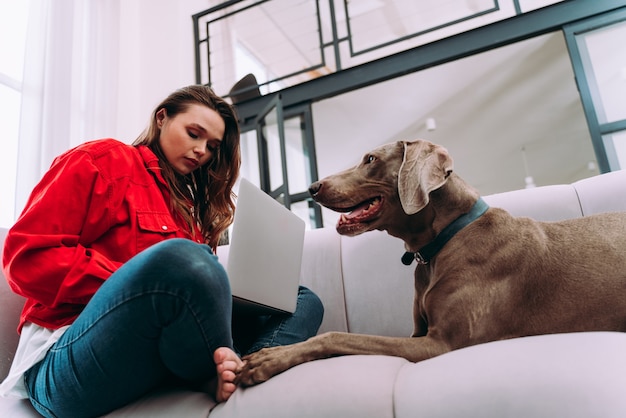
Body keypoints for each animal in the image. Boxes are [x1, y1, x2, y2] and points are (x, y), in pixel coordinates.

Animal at [235, 140, 624, 386]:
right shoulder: (418, 333)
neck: (445, 240)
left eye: (370, 159)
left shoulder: (441, 343)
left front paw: (269, 359)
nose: (313, 187)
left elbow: (338, 335)